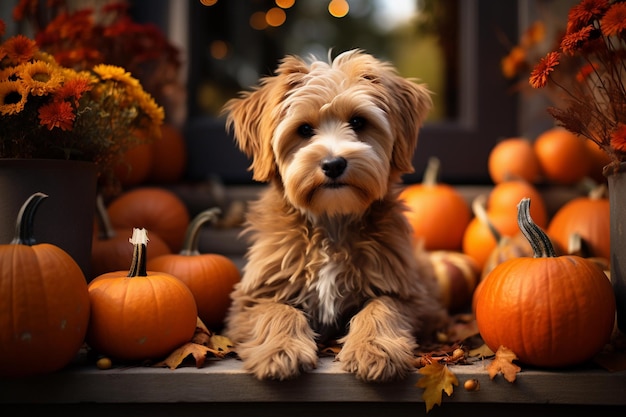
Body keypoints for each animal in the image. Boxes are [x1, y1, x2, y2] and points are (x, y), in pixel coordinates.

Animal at [219, 48, 444, 380]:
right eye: (304, 129)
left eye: (358, 122)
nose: (334, 163)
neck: (332, 220)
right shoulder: (248, 301)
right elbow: (277, 309)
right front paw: (280, 351)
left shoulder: (411, 296)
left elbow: (381, 306)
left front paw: (375, 349)